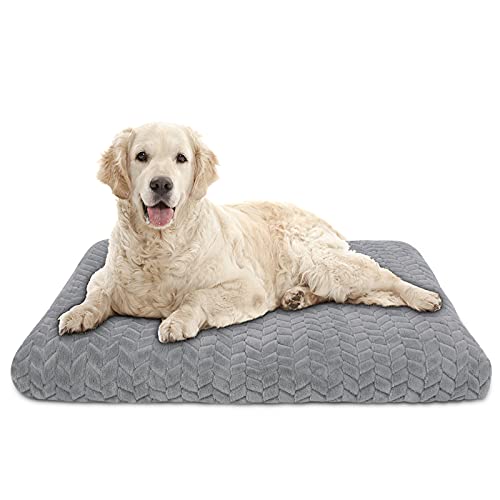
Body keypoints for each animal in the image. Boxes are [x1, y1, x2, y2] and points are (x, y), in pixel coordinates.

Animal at [58, 122, 442, 342]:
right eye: (141, 156)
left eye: (181, 159)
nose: (161, 184)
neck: (161, 246)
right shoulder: (104, 277)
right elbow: (96, 296)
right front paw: (78, 314)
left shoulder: (247, 287)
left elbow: (197, 297)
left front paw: (176, 321)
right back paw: (297, 296)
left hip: (324, 260)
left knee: (386, 278)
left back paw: (425, 296)